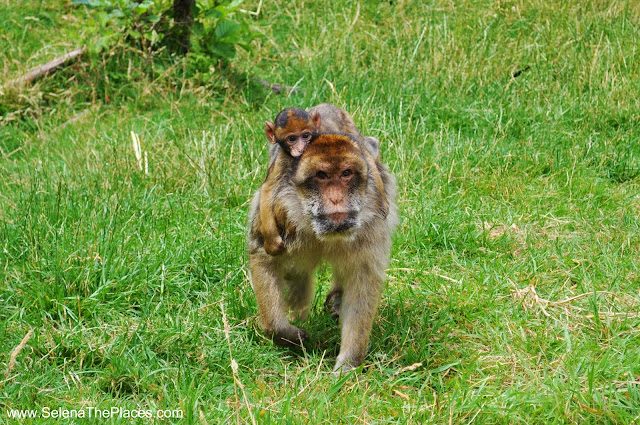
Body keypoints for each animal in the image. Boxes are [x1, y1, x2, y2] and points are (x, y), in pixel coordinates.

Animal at [260, 108, 320, 255]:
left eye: (305, 136)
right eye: (292, 139)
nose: (301, 148)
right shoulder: (281, 159)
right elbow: (268, 188)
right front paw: (272, 240)